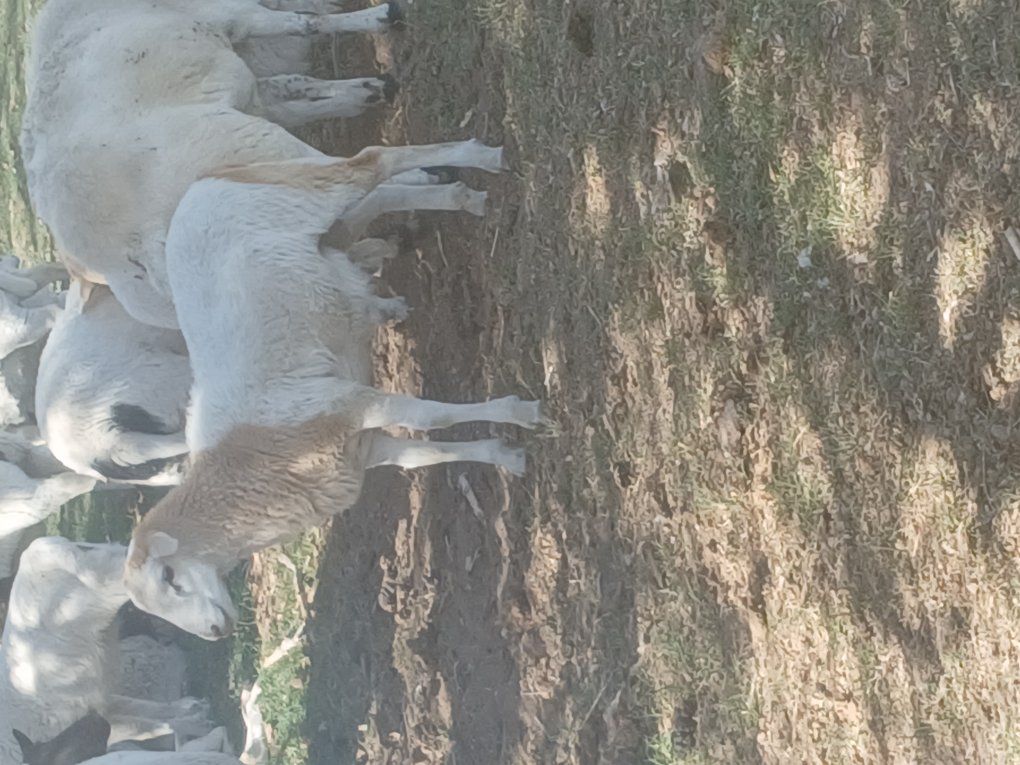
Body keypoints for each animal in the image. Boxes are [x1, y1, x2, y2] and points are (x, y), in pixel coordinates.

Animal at [21, 0, 489, 329]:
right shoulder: (234, 16)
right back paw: (445, 173)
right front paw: (382, 19)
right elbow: (303, 24)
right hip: (245, 145)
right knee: (360, 169)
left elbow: (296, 86)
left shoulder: (251, 90)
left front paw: (368, 89)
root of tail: (130, 251)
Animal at [120, 139, 541, 639]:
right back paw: (463, 199)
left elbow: (430, 416)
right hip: (319, 234)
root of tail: (205, 183)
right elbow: (426, 455)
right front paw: (506, 456)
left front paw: (520, 413)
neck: (247, 470)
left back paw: (482, 158)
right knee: (374, 201)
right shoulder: (360, 450)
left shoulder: (343, 403)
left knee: (374, 161)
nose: (215, 633)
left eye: (169, 576)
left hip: (308, 195)